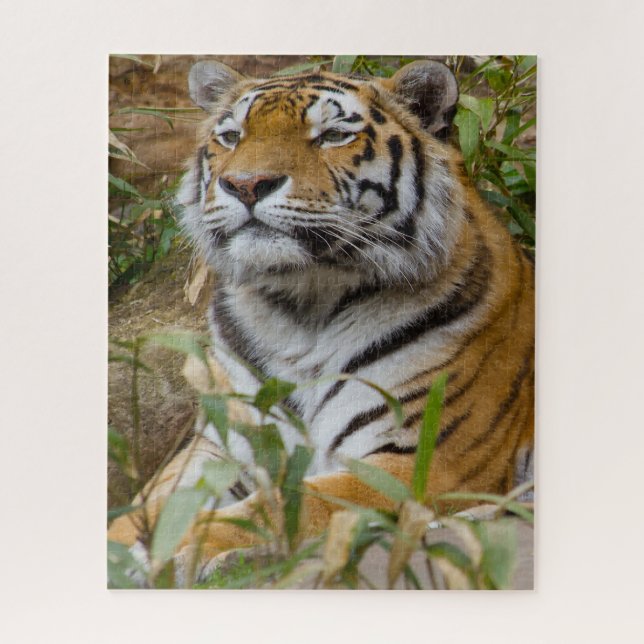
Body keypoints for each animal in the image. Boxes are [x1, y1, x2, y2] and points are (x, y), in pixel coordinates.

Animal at [107, 58, 535, 577]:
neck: (300, 308)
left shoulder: (420, 460)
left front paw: (180, 550)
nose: (245, 184)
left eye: (332, 136)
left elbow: (286, 504)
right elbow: (152, 505)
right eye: (231, 136)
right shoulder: (220, 445)